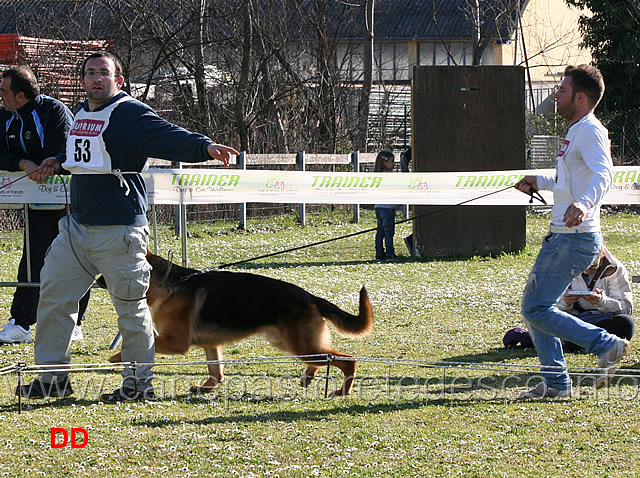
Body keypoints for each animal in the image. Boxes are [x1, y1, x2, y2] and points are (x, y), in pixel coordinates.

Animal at [107, 254, 372, 396]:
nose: (100, 279)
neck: (166, 283)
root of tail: (310, 297)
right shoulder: (211, 346)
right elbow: (216, 373)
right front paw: (206, 389)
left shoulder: (175, 343)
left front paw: (116, 358)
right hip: (291, 344)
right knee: (322, 359)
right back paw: (309, 377)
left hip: (300, 346)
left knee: (347, 359)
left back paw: (343, 390)